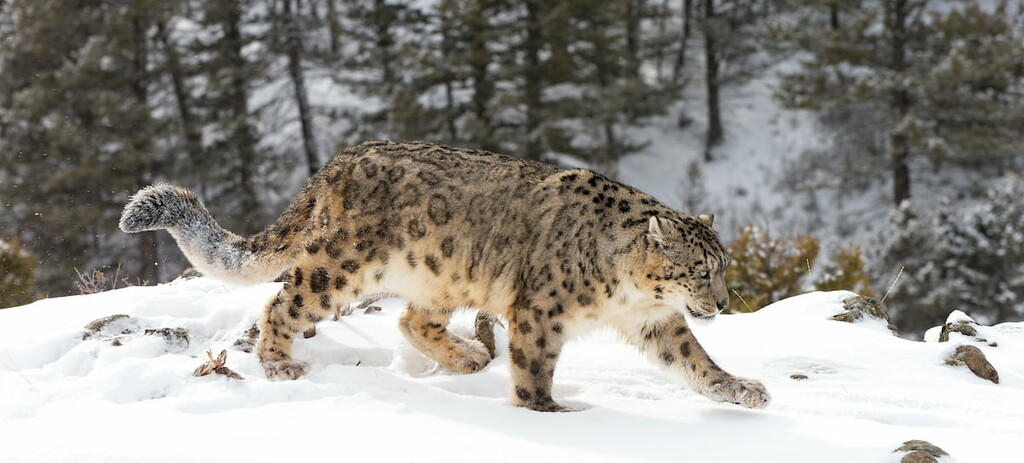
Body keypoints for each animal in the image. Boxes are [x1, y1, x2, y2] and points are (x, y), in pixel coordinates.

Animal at [119, 140, 770, 412]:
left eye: (723, 269)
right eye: (698, 271)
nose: (719, 304)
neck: (628, 293)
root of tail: (334, 164)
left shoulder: (655, 322)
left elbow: (694, 360)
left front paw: (741, 390)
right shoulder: (541, 312)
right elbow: (535, 367)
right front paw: (547, 411)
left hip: (443, 274)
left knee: (412, 319)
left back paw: (468, 357)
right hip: (339, 266)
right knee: (284, 303)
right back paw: (280, 364)